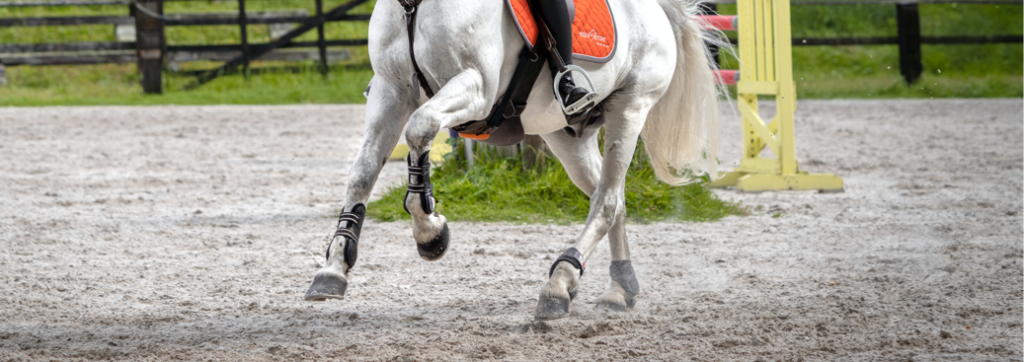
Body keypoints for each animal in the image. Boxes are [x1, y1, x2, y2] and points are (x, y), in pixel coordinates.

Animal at [301, 0, 720, 319]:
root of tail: (658, 7)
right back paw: (619, 288)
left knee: (606, 201)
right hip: (566, 134)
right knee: (611, 198)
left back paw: (560, 282)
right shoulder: (391, 90)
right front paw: (334, 267)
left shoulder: (476, 87)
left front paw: (430, 232)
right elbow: (363, 171)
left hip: (629, 109)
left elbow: (420, 128)